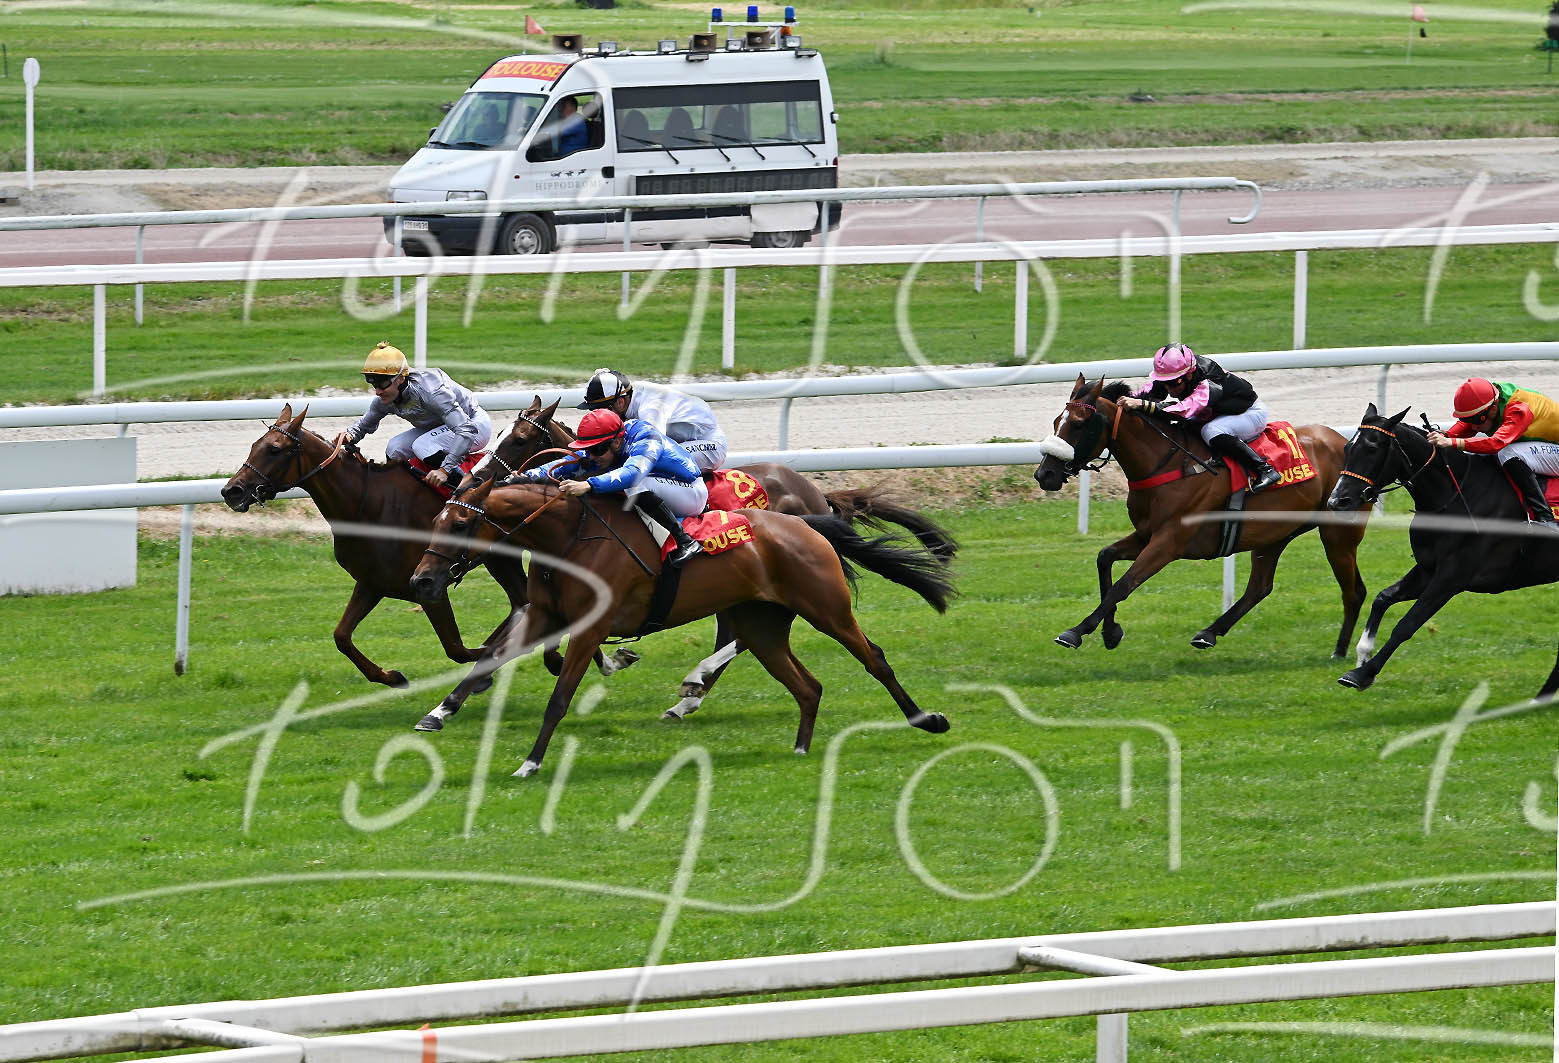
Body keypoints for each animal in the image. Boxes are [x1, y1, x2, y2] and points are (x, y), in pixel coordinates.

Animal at [407, 476, 954, 777]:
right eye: (433, 521)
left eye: (461, 525)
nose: (422, 580)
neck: (568, 538)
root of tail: (806, 521)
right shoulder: (545, 616)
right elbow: (490, 658)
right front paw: (441, 711)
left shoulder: (589, 627)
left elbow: (559, 698)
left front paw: (530, 763)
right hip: (762, 625)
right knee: (807, 685)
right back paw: (800, 748)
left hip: (827, 609)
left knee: (873, 658)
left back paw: (925, 718)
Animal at [459, 395, 957, 719]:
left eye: (519, 438)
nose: (472, 479)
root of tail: (815, 493)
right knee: (742, 632)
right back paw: (689, 697)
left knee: (740, 635)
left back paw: (695, 684)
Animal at [1033, 375, 1369, 656]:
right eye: (1056, 421)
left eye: (1078, 424)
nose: (1044, 474)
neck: (1169, 463)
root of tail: (1344, 442)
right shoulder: (1146, 534)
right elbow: (1105, 558)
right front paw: (1110, 632)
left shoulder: (1169, 542)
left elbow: (1124, 585)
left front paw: (1077, 631)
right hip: (1275, 533)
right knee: (1259, 588)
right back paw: (1209, 633)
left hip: (1337, 534)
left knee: (1353, 592)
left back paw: (1340, 653)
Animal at [1326, 404, 1559, 699]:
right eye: (1347, 448)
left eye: (1372, 448)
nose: (1337, 501)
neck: (1456, 496)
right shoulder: (1428, 569)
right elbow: (1383, 598)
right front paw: (1362, 653)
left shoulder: (1452, 578)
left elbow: (1406, 625)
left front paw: (1362, 674)